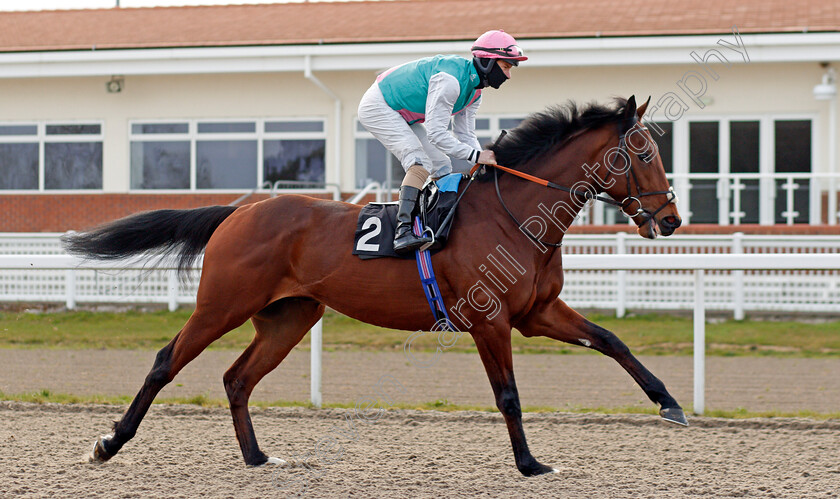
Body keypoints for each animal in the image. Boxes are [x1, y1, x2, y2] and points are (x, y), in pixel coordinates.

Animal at [64, 94, 684, 476]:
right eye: (644, 152)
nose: (673, 220)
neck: (514, 214)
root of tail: (239, 211)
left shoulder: (537, 314)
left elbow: (611, 341)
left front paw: (670, 403)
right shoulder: (490, 321)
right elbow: (507, 395)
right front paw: (531, 464)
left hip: (290, 316)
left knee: (237, 378)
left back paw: (258, 458)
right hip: (221, 305)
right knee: (165, 362)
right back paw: (108, 444)